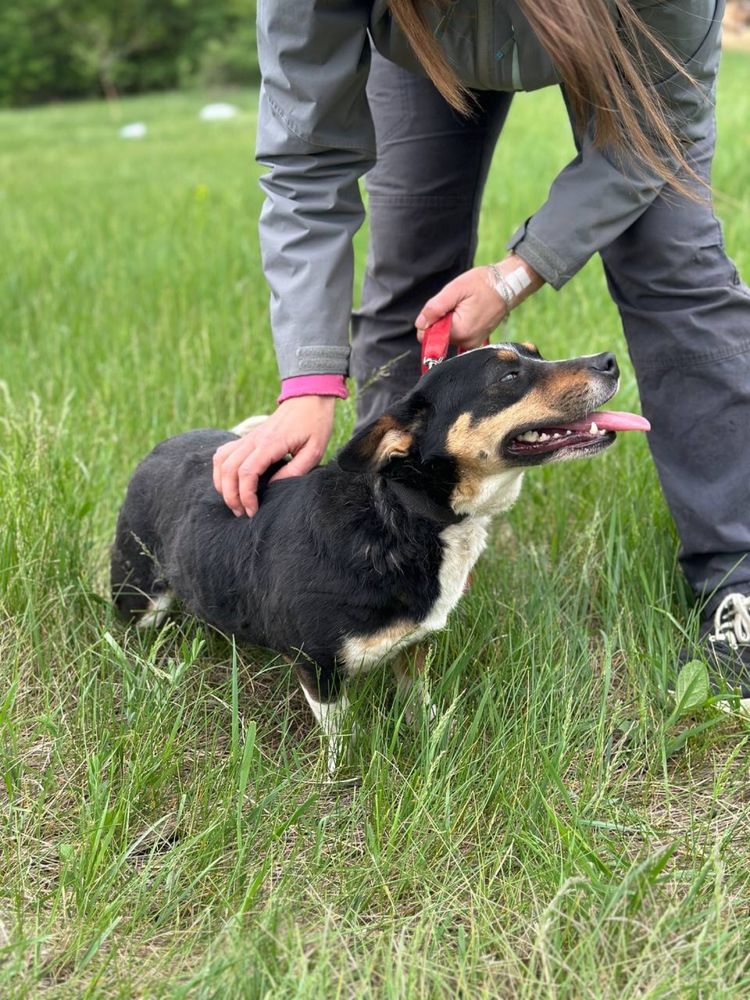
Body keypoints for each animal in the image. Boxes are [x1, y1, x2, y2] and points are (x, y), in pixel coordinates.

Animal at [108, 346, 648, 772]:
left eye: (535, 352)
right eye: (509, 376)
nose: (609, 359)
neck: (407, 515)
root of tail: (160, 447)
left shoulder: (415, 645)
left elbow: (420, 703)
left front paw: (436, 737)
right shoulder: (319, 666)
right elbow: (340, 737)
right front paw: (340, 779)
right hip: (140, 595)